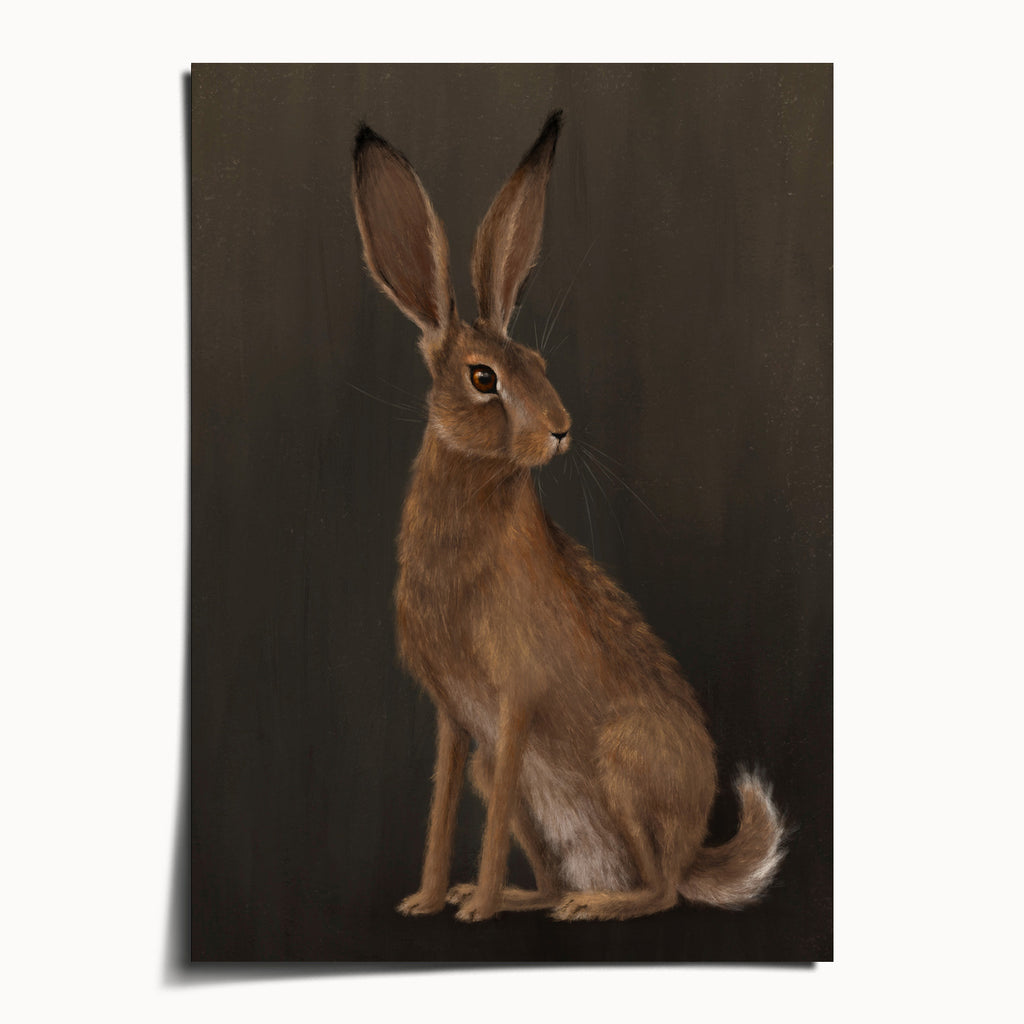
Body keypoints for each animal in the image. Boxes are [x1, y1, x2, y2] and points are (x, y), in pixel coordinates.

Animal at [351, 110, 786, 922]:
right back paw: (527, 897)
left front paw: (474, 911)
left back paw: (593, 905)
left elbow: (485, 818)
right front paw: (428, 900)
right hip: (523, 780)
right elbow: (442, 808)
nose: (560, 429)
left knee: (661, 892)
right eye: (484, 377)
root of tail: (693, 851)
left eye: (541, 366)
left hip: (624, 761)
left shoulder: (515, 700)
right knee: (560, 870)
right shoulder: (459, 723)